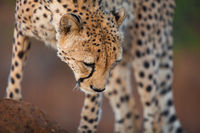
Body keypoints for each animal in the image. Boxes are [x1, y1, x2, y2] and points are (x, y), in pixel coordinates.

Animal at [4, 0, 183, 133]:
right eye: (88, 64)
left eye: (113, 63)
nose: (99, 88)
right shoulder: (21, 29)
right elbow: (15, 73)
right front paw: (13, 100)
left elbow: (91, 109)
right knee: (129, 111)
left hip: (145, 50)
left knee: (154, 116)